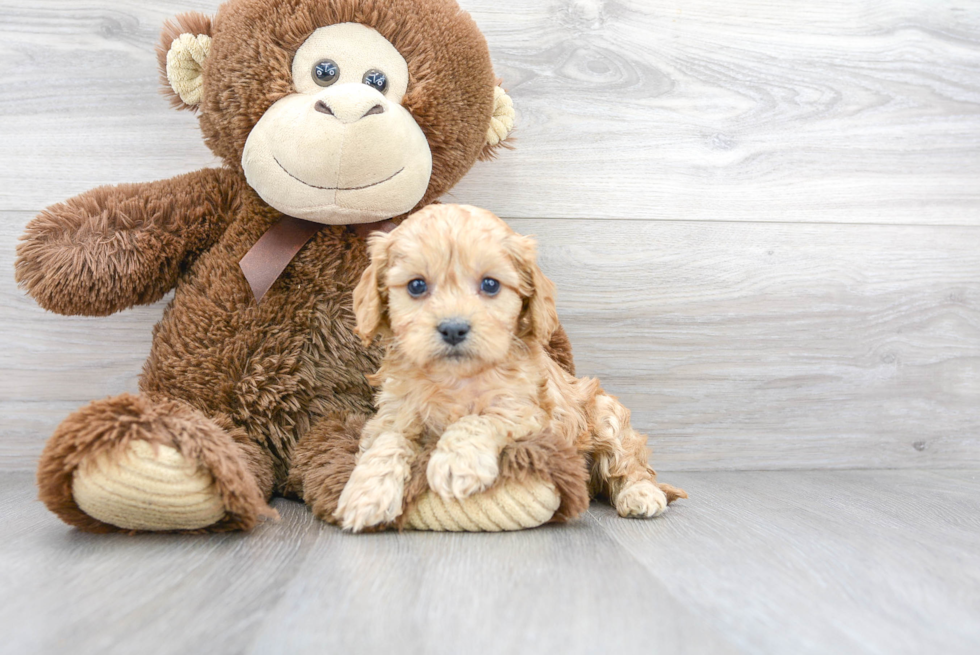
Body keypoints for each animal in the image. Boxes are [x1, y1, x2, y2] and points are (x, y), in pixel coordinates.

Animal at [334, 205, 684, 532]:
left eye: (490, 285)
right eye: (416, 286)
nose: (453, 329)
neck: (455, 379)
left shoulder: (530, 412)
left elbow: (480, 418)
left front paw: (456, 464)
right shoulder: (393, 415)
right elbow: (385, 442)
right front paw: (365, 494)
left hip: (606, 415)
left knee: (630, 467)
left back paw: (640, 494)